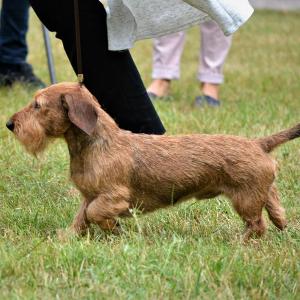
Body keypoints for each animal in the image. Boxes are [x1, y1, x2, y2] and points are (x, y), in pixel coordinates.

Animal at [5, 82, 300, 239]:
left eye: (37, 105)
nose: (9, 124)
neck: (95, 144)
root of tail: (257, 143)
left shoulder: (113, 196)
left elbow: (94, 213)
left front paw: (113, 228)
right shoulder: (89, 194)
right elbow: (81, 216)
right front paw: (67, 237)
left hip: (245, 199)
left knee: (257, 225)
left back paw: (242, 242)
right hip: (258, 191)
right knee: (274, 205)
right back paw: (281, 224)